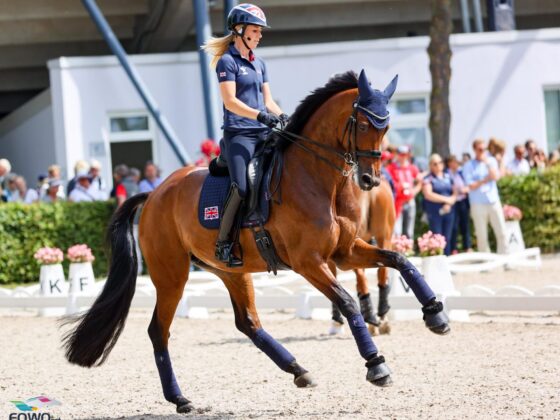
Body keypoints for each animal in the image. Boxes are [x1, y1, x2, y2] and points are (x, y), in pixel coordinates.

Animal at [330, 177, 396, 334]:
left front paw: (336, 322)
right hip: (384, 237)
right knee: (381, 274)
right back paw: (381, 318)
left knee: (361, 278)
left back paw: (371, 318)